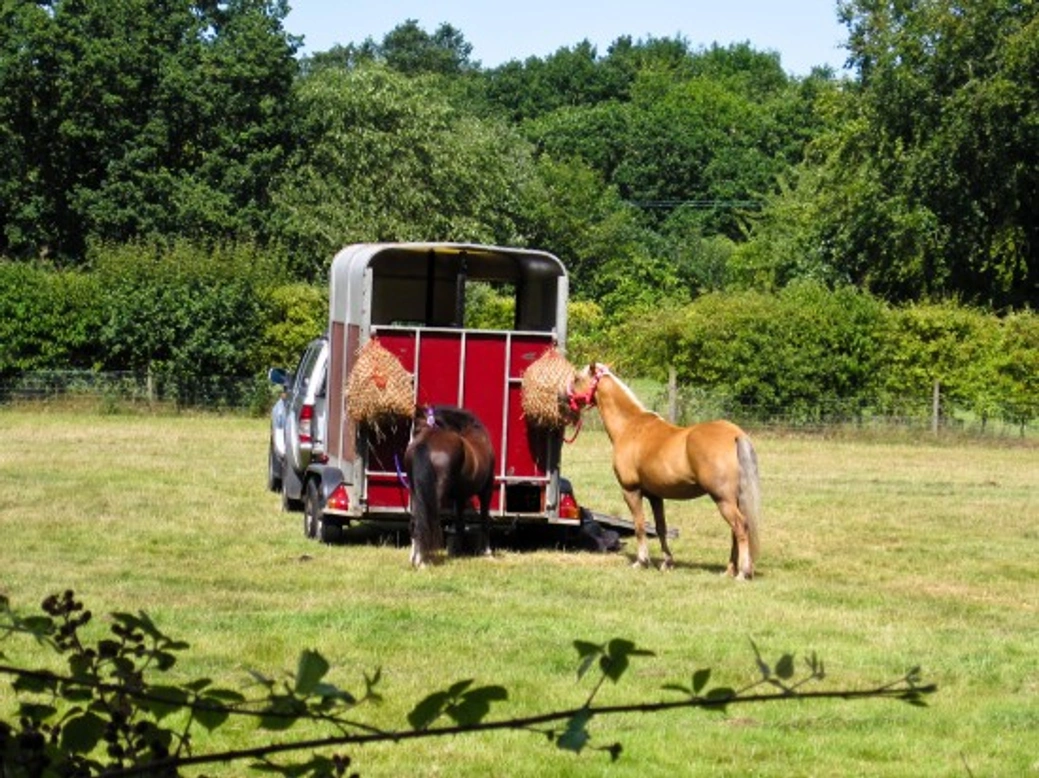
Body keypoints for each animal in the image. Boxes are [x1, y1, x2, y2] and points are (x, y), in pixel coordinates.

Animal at [403, 404, 496, 568]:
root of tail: (424, 442)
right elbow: (484, 520)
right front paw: (487, 551)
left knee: (415, 522)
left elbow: (459, 523)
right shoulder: (486, 490)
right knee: (425, 522)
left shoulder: (460, 497)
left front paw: (458, 551)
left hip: (416, 493)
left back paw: (414, 559)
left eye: (417, 428)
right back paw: (422, 562)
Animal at [568, 363, 762, 579]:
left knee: (740, 527)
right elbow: (660, 527)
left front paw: (641, 561)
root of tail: (735, 435)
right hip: (733, 499)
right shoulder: (655, 496)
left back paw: (742, 573)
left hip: (723, 499)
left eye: (577, 379)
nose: (563, 397)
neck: (630, 426)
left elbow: (640, 526)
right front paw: (667, 562)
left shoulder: (631, 491)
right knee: (735, 531)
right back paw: (729, 571)